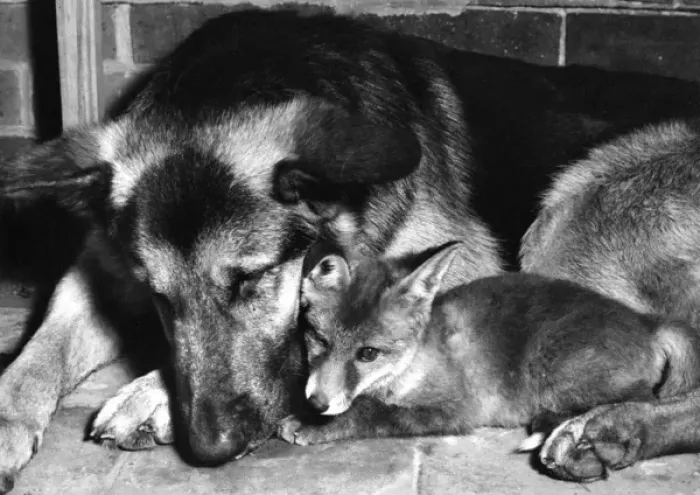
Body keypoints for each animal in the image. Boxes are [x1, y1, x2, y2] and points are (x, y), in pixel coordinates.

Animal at [278, 241, 700, 453]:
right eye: (319, 339)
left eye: (367, 353)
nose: (317, 403)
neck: (410, 365)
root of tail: (648, 322)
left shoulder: (458, 407)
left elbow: (370, 412)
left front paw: (316, 425)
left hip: (553, 372)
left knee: (641, 398)